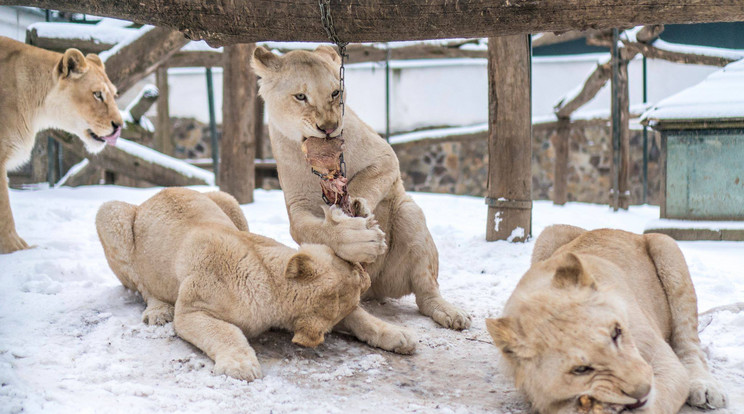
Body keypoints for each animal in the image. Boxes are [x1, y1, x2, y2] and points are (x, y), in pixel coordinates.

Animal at [96, 188, 416, 382]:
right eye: (354, 272)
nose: (366, 278)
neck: (269, 274)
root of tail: (153, 195)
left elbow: (360, 318)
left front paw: (399, 336)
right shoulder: (192, 307)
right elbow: (222, 330)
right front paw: (241, 366)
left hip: (227, 201)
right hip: (110, 214)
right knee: (141, 283)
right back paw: (157, 310)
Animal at [488, 226, 728, 414]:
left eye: (617, 333)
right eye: (581, 369)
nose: (643, 390)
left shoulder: (665, 361)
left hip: (667, 247)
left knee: (688, 344)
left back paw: (705, 388)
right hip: (549, 234)